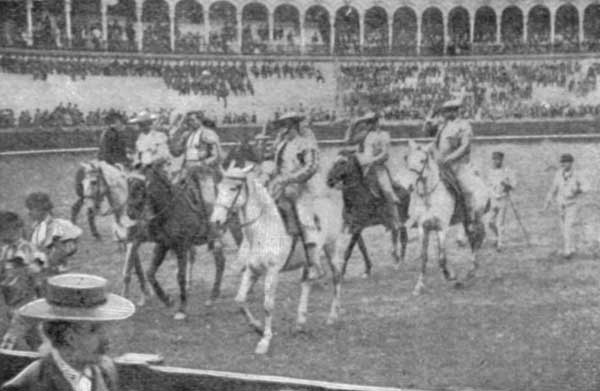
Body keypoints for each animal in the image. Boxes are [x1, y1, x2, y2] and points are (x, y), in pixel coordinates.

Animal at [126, 166, 227, 322]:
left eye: (140, 189)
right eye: (129, 188)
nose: (129, 213)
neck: (169, 212)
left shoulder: (181, 247)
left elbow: (180, 276)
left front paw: (181, 309)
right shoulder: (163, 245)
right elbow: (150, 273)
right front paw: (167, 300)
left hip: (215, 238)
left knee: (220, 262)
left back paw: (212, 296)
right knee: (220, 261)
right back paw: (212, 297)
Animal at [211, 164, 346, 356]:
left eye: (234, 188)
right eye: (219, 187)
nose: (215, 221)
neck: (264, 229)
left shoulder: (272, 272)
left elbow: (268, 305)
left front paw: (265, 341)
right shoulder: (252, 270)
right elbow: (239, 300)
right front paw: (257, 327)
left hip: (331, 247)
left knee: (336, 276)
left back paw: (332, 316)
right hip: (310, 260)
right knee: (307, 281)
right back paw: (300, 323)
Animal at [404, 139, 492, 296]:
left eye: (422, 160)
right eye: (407, 159)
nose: (408, 185)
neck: (429, 197)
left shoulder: (442, 228)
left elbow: (442, 258)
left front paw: (451, 276)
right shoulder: (423, 228)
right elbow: (424, 257)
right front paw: (419, 286)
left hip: (475, 218)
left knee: (478, 239)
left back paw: (470, 272)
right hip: (466, 221)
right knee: (473, 240)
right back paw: (470, 273)